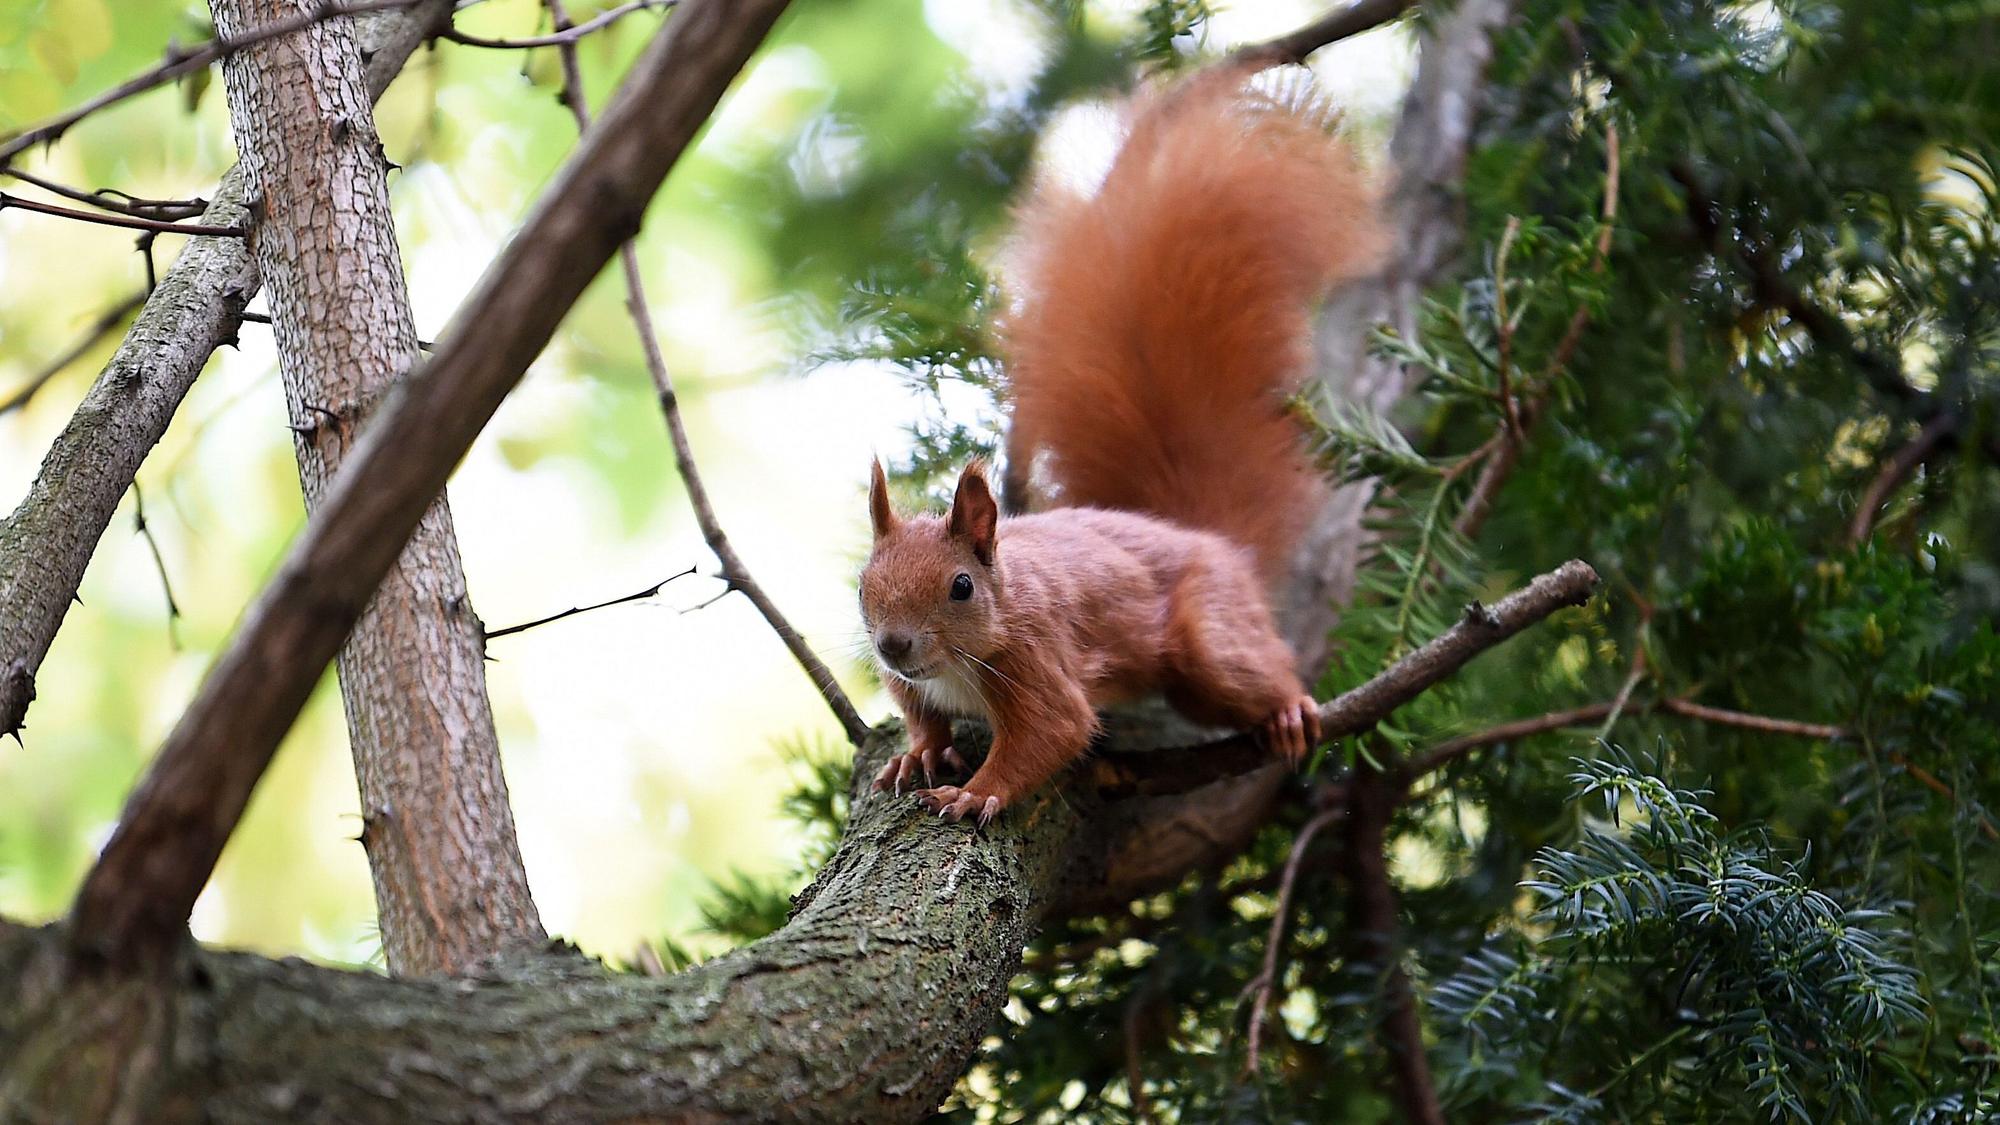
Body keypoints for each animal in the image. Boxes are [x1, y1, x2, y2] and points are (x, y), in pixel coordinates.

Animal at [860, 67, 1381, 825]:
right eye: (863, 584)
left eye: (961, 586)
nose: (893, 643)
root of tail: (1202, 537)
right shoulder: (911, 683)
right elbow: (921, 714)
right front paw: (918, 753)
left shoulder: (1035, 658)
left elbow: (1055, 729)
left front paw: (974, 792)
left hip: (1208, 639)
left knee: (1250, 668)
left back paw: (1287, 709)